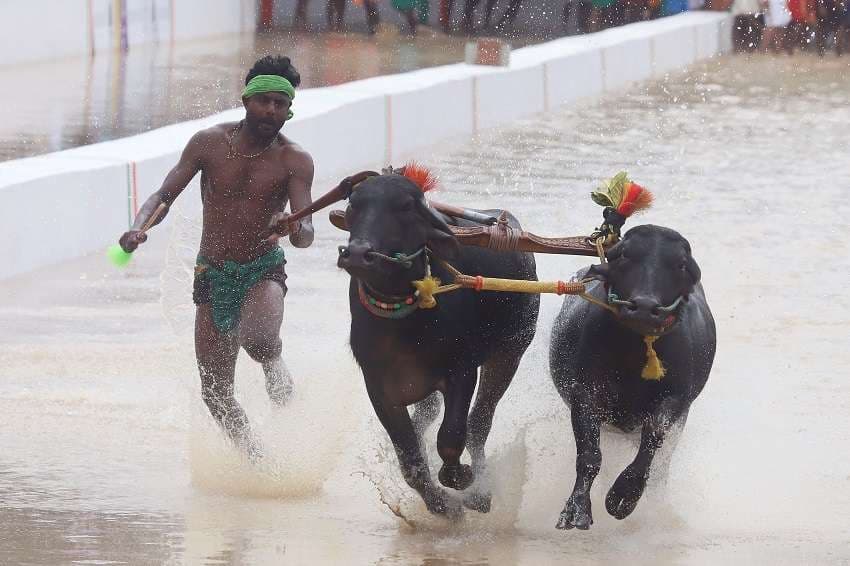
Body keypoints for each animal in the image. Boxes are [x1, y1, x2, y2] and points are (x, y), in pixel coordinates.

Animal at [334, 173, 532, 520]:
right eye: (354, 204)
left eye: (405, 207)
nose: (358, 254)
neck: (403, 324)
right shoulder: (379, 388)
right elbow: (410, 457)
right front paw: (441, 505)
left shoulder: (462, 371)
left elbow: (451, 437)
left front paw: (460, 479)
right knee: (428, 420)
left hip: (509, 355)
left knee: (479, 424)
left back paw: (481, 492)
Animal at [548, 226, 712, 532]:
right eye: (625, 255)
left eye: (680, 264)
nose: (645, 307)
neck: (635, 352)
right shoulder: (584, 391)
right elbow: (589, 454)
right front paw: (576, 510)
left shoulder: (676, 401)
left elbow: (653, 441)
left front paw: (623, 496)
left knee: (662, 467)